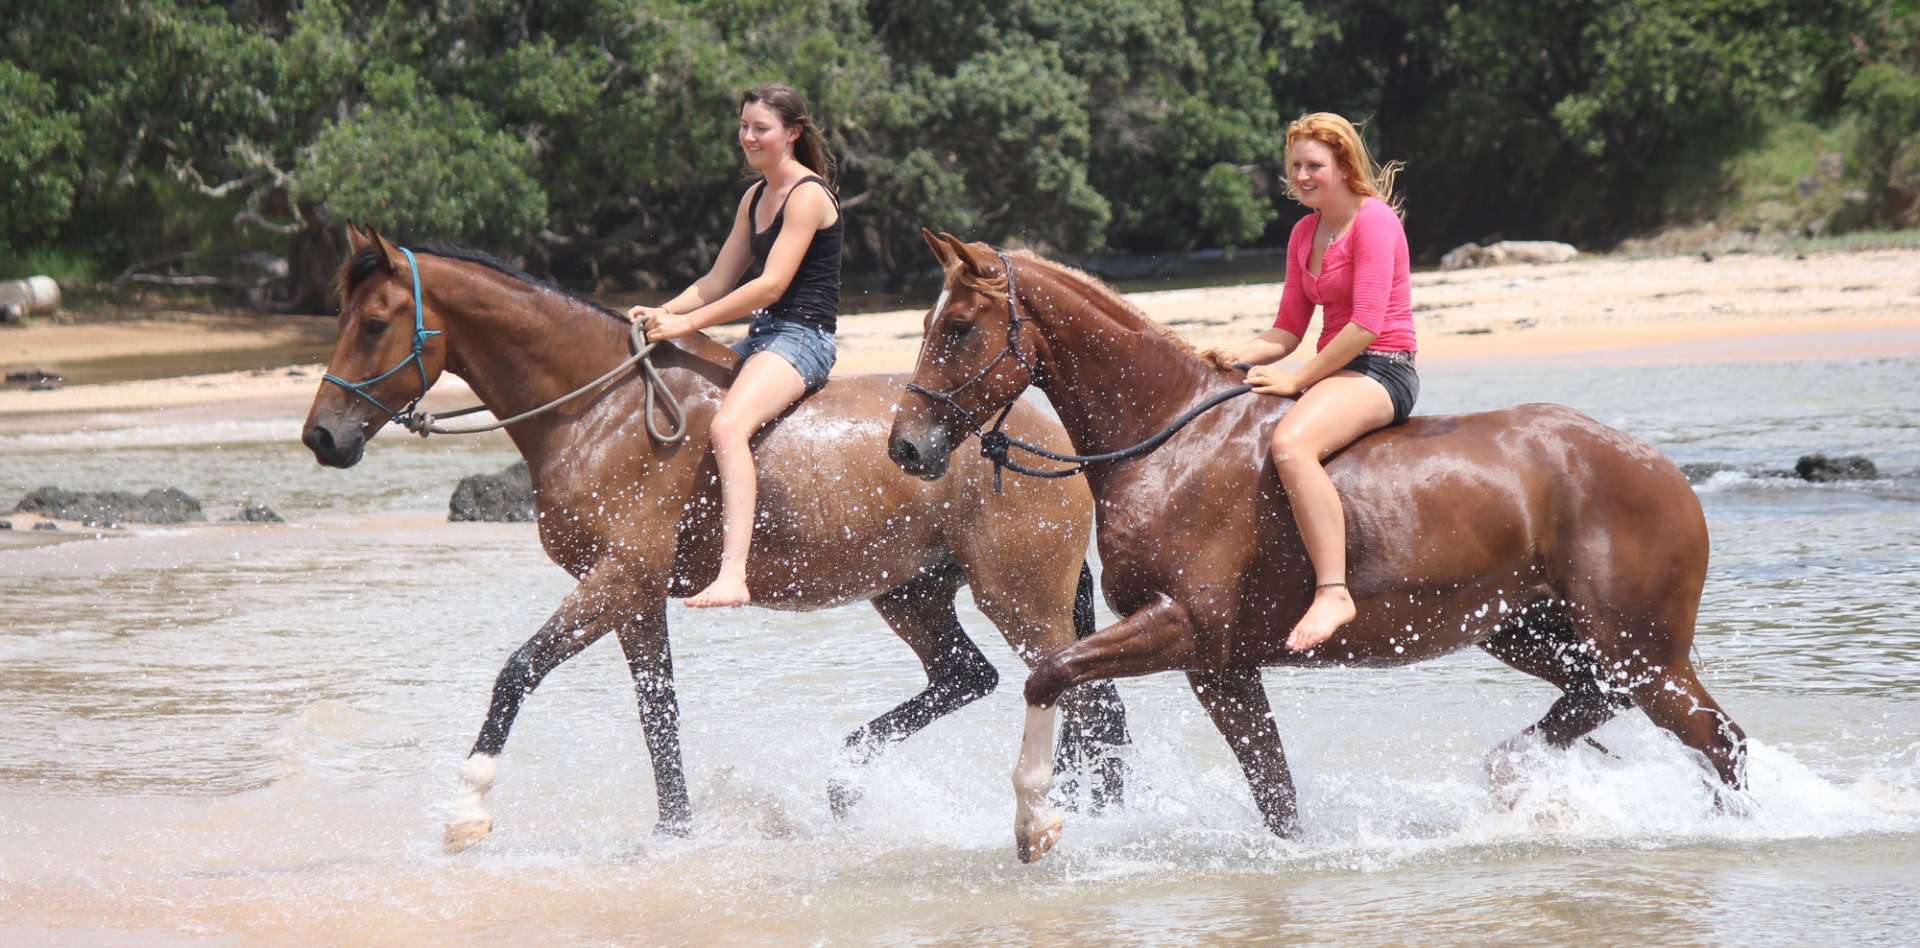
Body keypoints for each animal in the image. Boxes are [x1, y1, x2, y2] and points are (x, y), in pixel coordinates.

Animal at [305, 227, 1128, 852]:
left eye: (373, 323)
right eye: (341, 317)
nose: (321, 436)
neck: (598, 411)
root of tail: (1048, 439)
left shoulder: (615, 578)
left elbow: (519, 671)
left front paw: (466, 811)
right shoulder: (636, 600)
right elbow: (658, 717)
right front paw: (675, 835)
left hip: (1019, 598)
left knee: (1085, 699)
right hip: (911, 592)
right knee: (975, 677)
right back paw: (853, 782)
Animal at [890, 231, 1751, 867]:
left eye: (957, 328)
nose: (905, 447)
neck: (1167, 441)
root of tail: (1660, 468)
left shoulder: (1183, 629)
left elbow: (1048, 674)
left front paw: (1033, 823)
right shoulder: (1222, 667)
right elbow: (1275, 795)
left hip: (1642, 650)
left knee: (1721, 741)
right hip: (1532, 633)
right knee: (1599, 700)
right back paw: (1520, 776)